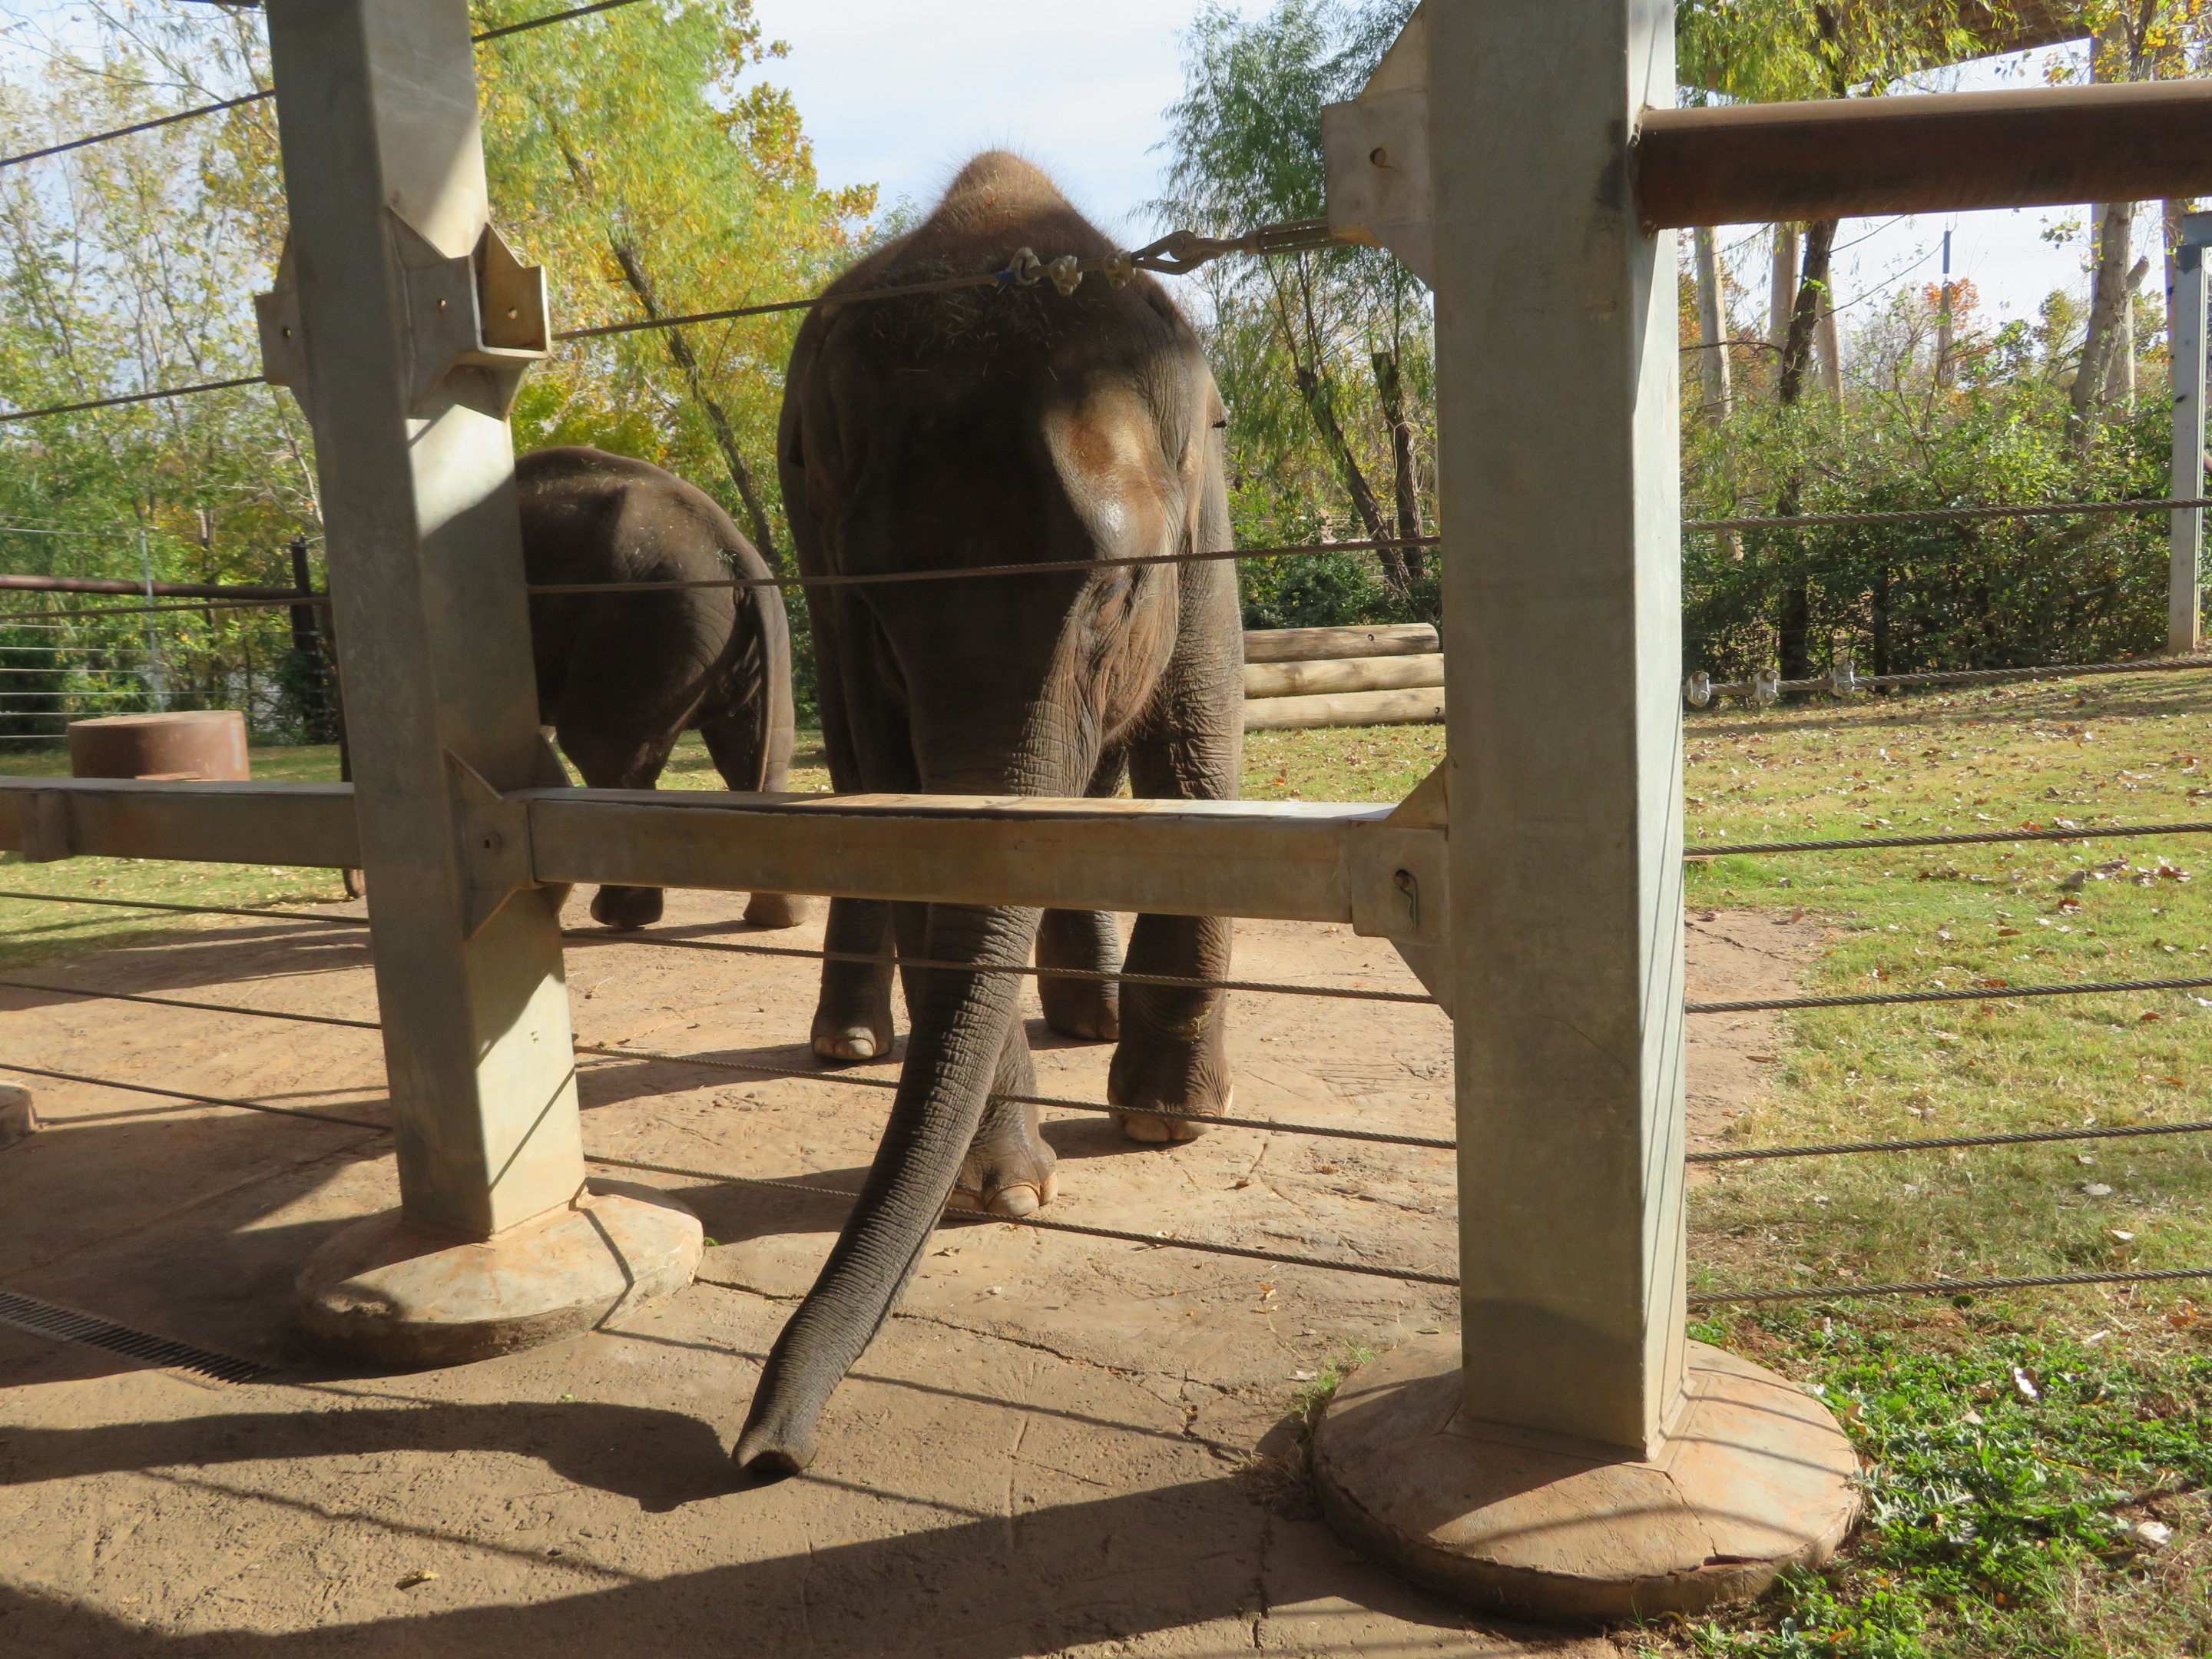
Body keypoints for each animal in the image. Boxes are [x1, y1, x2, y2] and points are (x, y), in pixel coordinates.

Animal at [519, 445, 806, 931]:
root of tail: (731, 549)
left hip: (642, 623)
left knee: (603, 750)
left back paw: (617, 916)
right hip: (750, 635)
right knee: (757, 755)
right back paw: (776, 919)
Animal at [734, 152, 1244, 1478]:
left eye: (1117, 593)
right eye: (882, 614)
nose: (764, 1449)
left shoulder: (1206, 515)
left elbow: (1199, 757)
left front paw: (1168, 1126)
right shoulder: (830, 581)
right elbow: (912, 818)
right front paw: (1008, 1193)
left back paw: (1086, 1017)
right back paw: (857, 1046)